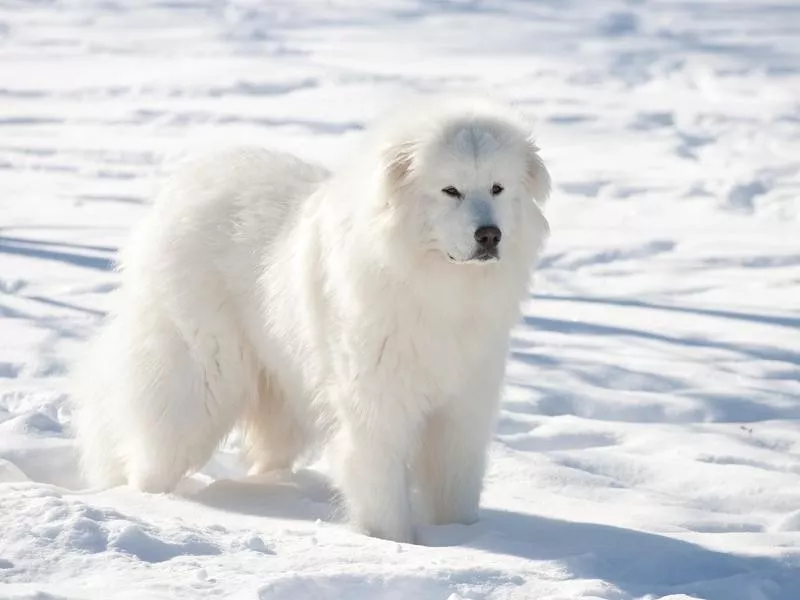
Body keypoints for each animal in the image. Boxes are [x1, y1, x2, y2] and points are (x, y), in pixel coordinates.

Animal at [72, 96, 552, 540]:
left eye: (497, 187)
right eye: (450, 190)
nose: (489, 236)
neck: (436, 286)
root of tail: (181, 187)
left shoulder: (463, 408)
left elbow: (456, 484)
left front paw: (462, 537)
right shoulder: (376, 405)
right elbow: (381, 486)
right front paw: (394, 543)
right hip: (200, 379)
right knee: (156, 447)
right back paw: (146, 502)